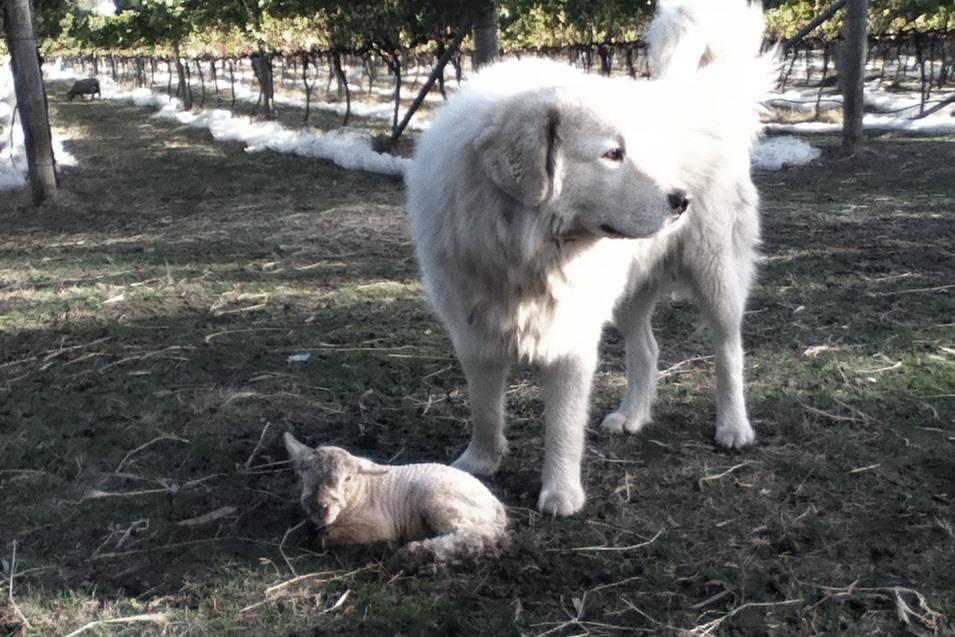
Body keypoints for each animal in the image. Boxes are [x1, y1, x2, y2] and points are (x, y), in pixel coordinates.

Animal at [284, 432, 508, 572]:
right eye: (302, 475)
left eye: (347, 478)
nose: (318, 507)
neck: (359, 494)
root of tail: (494, 502)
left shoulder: (376, 525)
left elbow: (326, 539)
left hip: (442, 501)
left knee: (477, 537)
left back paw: (411, 555)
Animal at [405, 0, 775, 515]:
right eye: (613, 154)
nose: (681, 200)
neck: (521, 252)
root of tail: (696, 96)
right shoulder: (475, 333)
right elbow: (484, 408)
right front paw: (478, 463)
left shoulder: (570, 341)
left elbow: (561, 425)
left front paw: (560, 493)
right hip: (631, 293)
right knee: (647, 349)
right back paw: (632, 416)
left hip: (716, 277)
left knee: (729, 352)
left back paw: (733, 426)